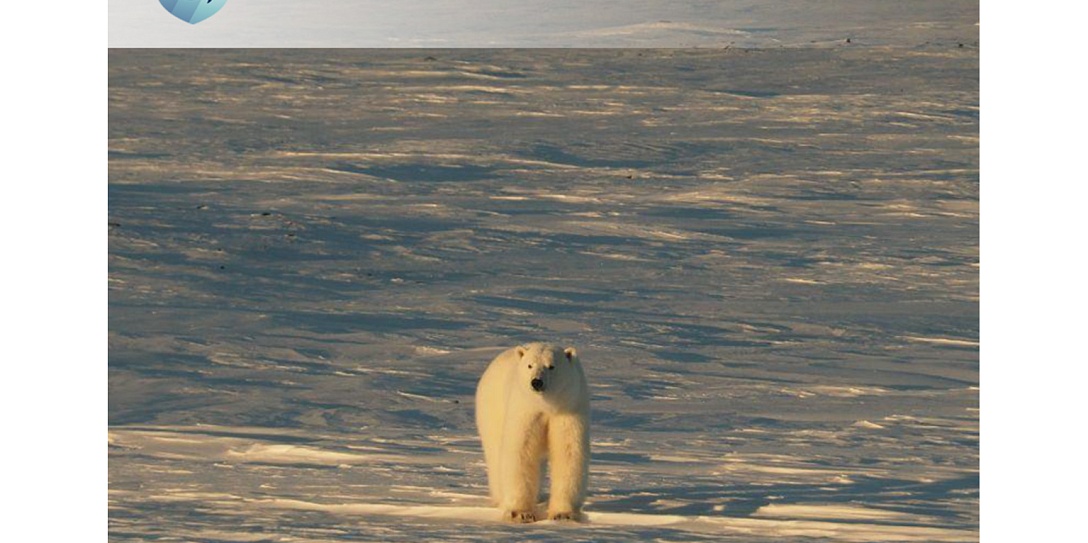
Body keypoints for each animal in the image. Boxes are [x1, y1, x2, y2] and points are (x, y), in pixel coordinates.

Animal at [474, 341, 591, 524]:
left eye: (551, 366)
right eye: (530, 365)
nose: (537, 382)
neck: (547, 405)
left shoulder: (570, 406)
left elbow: (569, 452)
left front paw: (563, 514)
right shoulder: (525, 409)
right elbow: (522, 451)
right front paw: (520, 513)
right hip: (491, 412)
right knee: (495, 454)